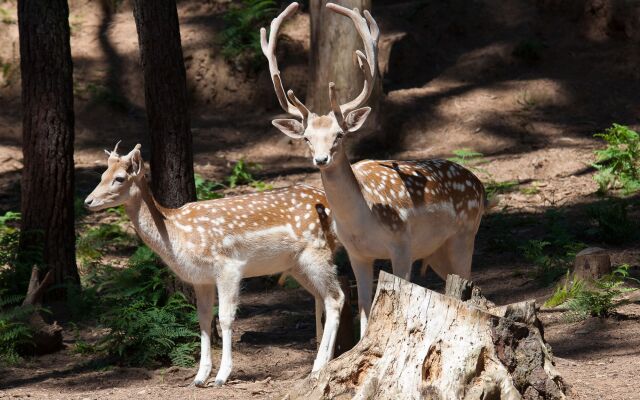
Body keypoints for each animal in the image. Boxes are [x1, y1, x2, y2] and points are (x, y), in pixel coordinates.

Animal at [87, 142, 344, 386]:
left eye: (120, 178)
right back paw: (329, 361)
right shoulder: (201, 279)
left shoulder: (228, 267)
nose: (88, 201)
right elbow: (203, 319)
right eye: (102, 175)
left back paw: (318, 367)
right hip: (296, 265)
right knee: (323, 297)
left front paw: (222, 376)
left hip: (317, 251)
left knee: (336, 297)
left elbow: (225, 318)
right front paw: (200, 377)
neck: (176, 232)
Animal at [260, 3, 484, 334]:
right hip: (436, 251)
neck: (362, 222)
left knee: (469, 285)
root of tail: (479, 184)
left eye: (339, 135)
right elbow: (366, 310)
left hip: (464, 235)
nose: (321, 159)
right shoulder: (357, 255)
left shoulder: (402, 245)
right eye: (307, 137)